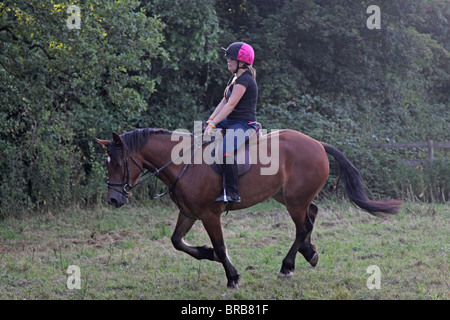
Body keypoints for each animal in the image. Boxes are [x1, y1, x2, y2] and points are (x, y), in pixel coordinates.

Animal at [97, 129, 400, 288]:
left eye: (118, 163)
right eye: (107, 163)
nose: (114, 200)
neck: (184, 164)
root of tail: (317, 143)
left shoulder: (209, 214)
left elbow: (220, 246)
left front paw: (232, 277)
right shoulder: (189, 212)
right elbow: (177, 241)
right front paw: (208, 255)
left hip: (294, 201)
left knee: (302, 226)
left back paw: (288, 266)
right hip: (287, 196)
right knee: (311, 215)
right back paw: (309, 253)